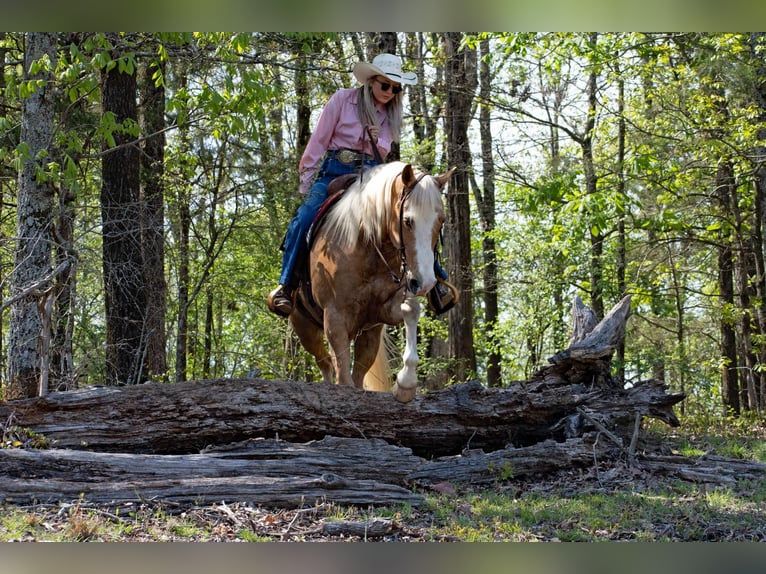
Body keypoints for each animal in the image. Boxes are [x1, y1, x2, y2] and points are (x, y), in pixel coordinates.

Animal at [287, 161, 455, 403]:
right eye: (408, 221)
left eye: (440, 220)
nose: (425, 283)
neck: (367, 246)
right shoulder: (335, 316)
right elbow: (342, 374)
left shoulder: (381, 313)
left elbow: (411, 309)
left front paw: (405, 383)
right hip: (304, 327)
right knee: (325, 362)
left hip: (368, 335)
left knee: (356, 372)